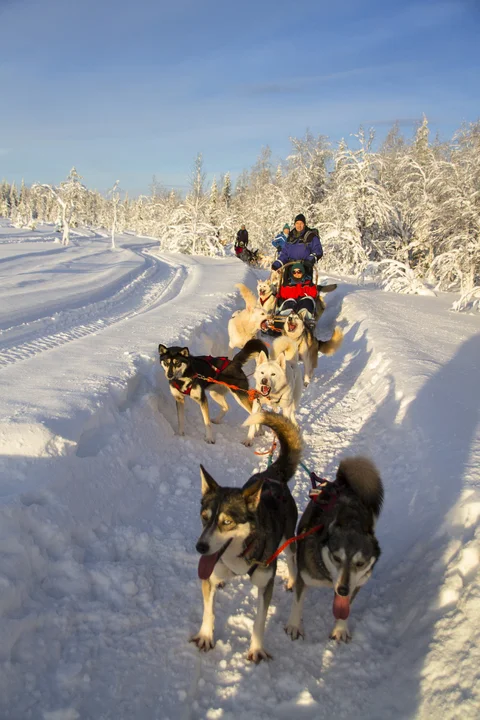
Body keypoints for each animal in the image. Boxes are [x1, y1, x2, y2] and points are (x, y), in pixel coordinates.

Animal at [190, 410, 300, 664]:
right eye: (204, 517)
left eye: (227, 522)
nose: (200, 547)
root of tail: (271, 475)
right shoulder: (208, 576)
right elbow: (208, 610)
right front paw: (205, 635)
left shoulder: (265, 584)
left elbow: (259, 621)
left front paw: (256, 649)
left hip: (289, 538)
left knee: (291, 558)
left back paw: (292, 580)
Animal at [284, 456, 382, 640]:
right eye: (336, 557)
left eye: (360, 563)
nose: (343, 590)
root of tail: (342, 485)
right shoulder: (303, 577)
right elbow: (297, 603)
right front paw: (294, 625)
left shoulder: (357, 584)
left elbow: (346, 609)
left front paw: (340, 629)